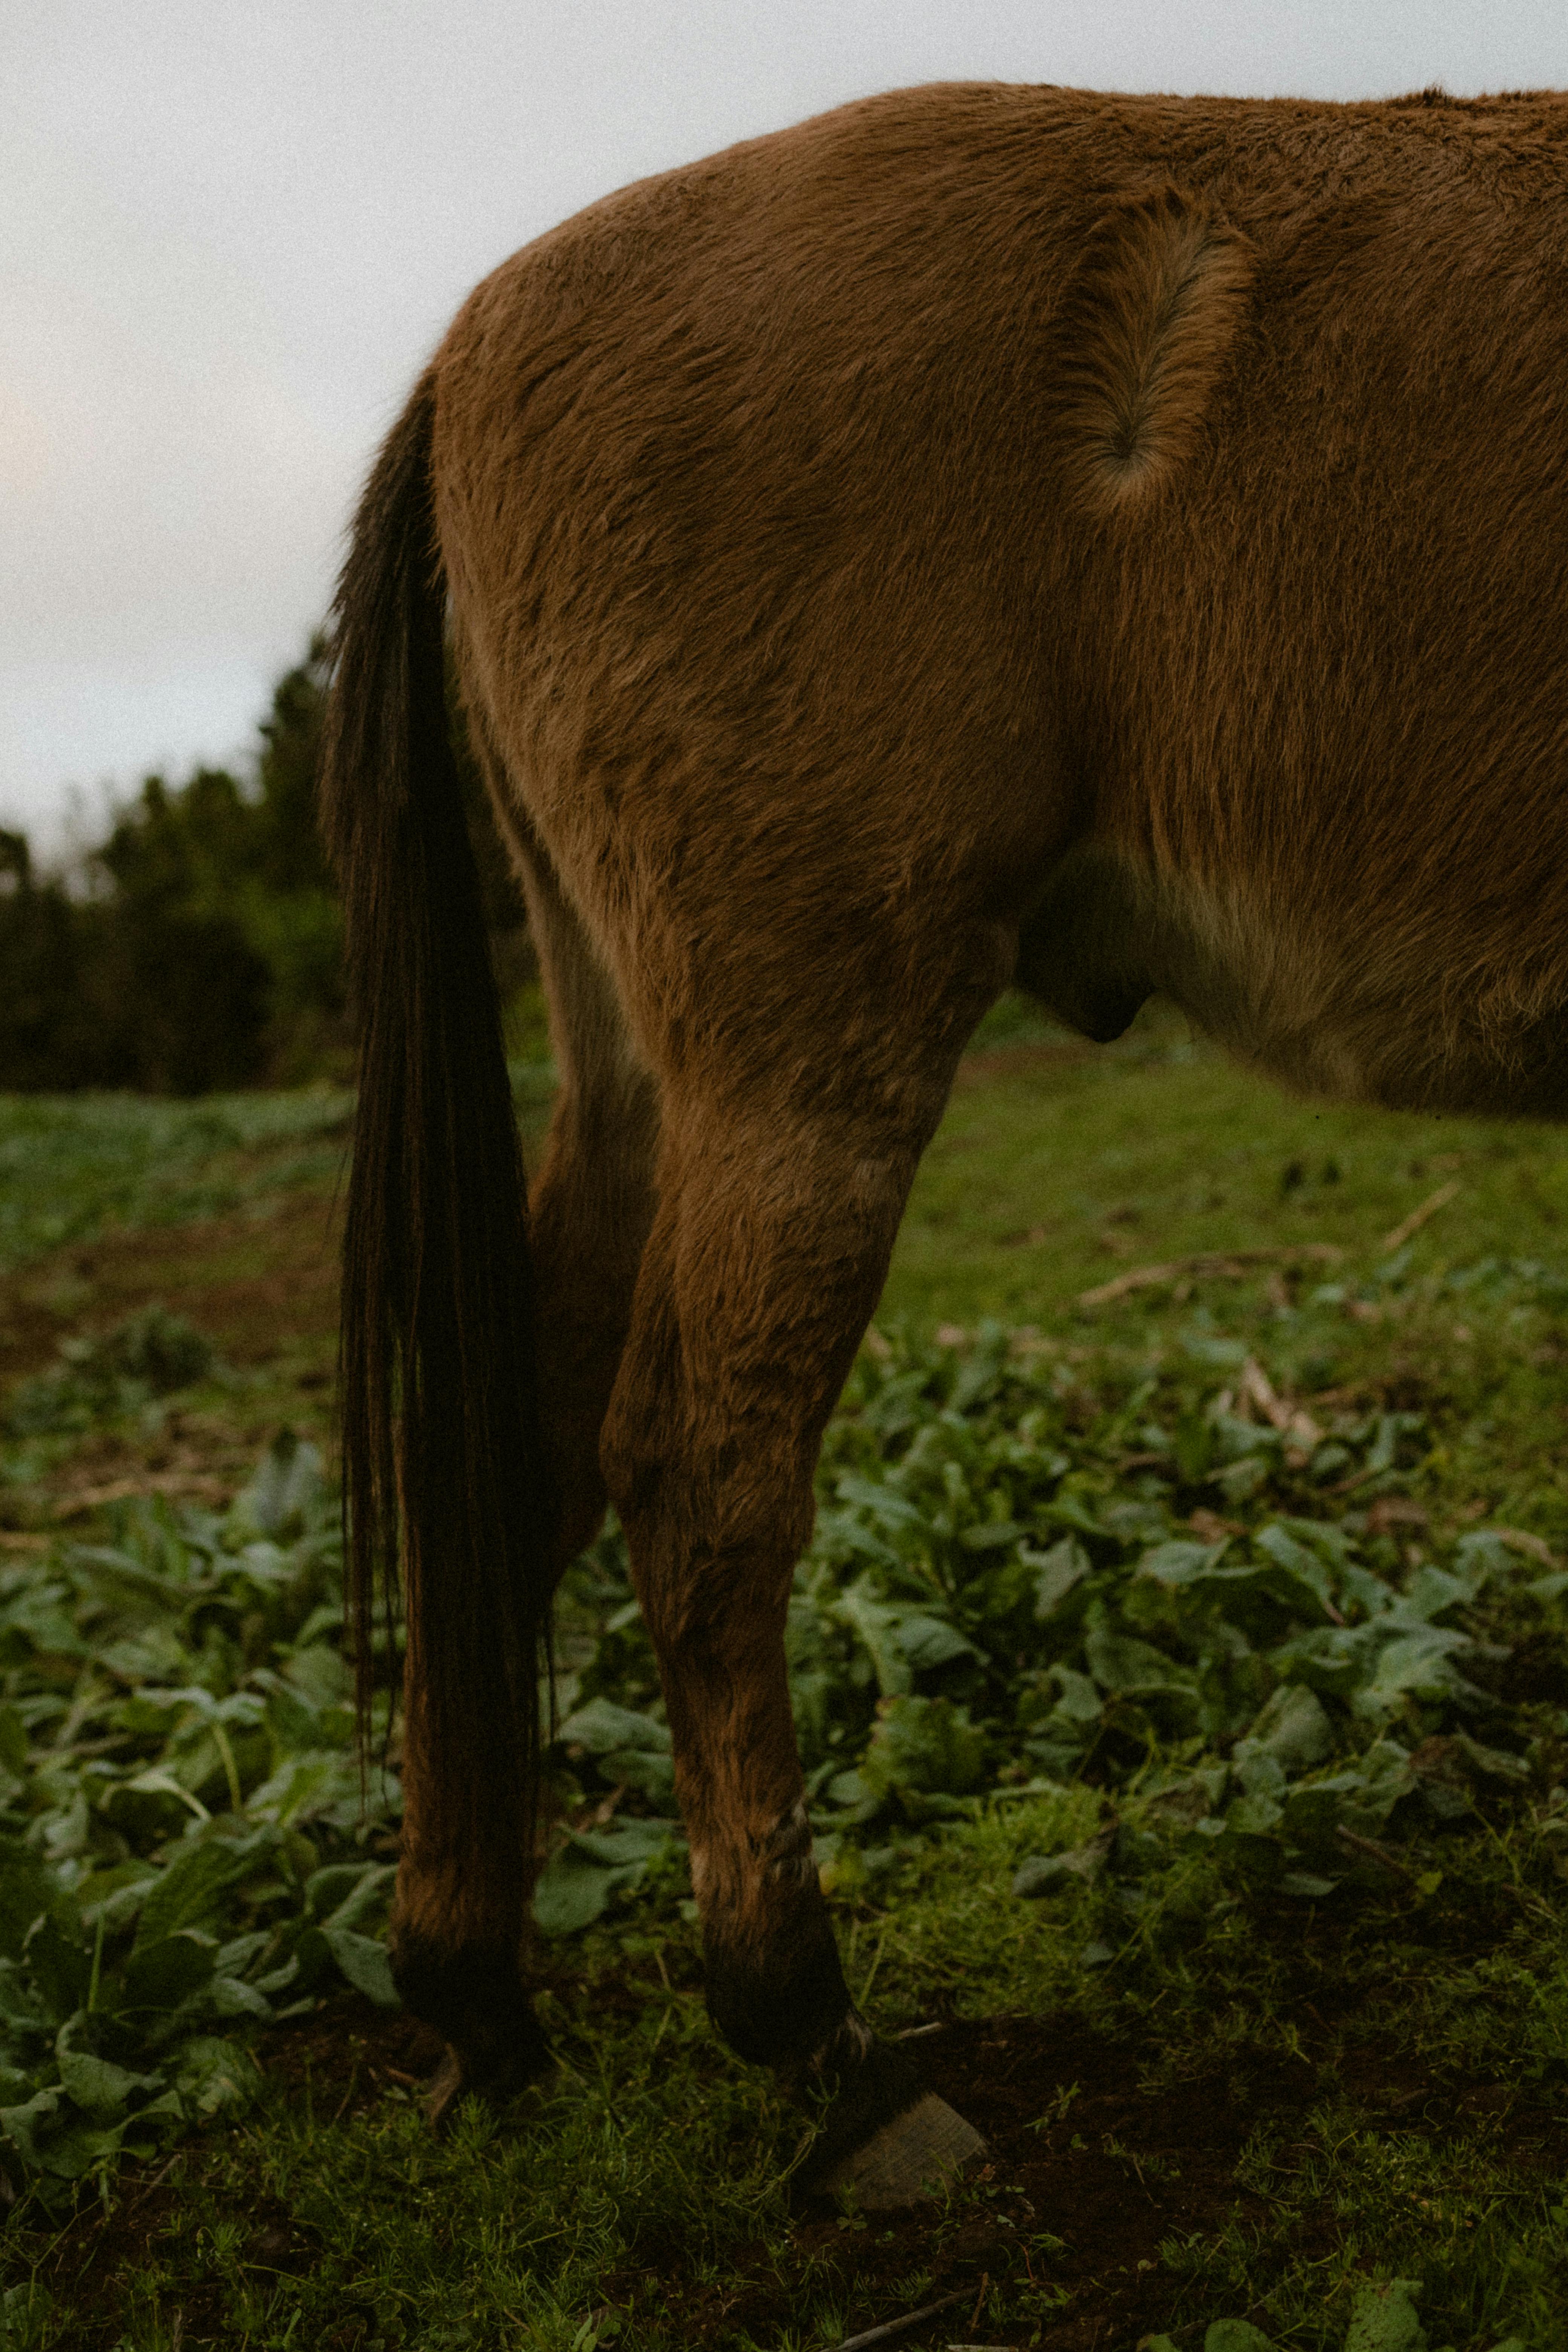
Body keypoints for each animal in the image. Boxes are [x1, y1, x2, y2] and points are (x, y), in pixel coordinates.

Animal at [322, 79, 1568, 2205]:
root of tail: (480, 330)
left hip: (639, 1066)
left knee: (510, 1452)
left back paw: (474, 1990)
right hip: (804, 1059)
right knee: (699, 1477)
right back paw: (807, 2027)